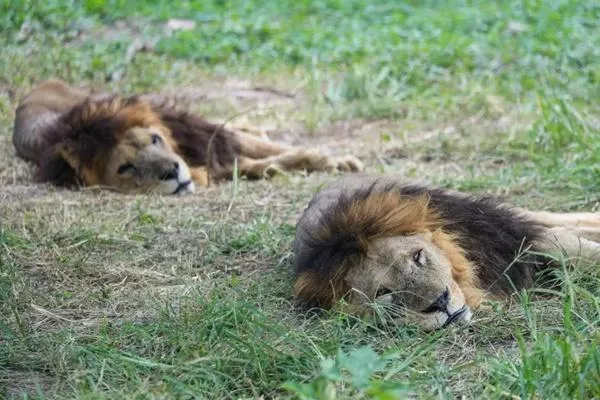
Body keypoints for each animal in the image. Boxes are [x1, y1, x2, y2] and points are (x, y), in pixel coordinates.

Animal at [11, 78, 364, 195]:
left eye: (154, 140)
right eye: (126, 168)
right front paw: (269, 168)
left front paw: (338, 160)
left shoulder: (209, 136)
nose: (172, 172)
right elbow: (256, 162)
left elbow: (274, 146)